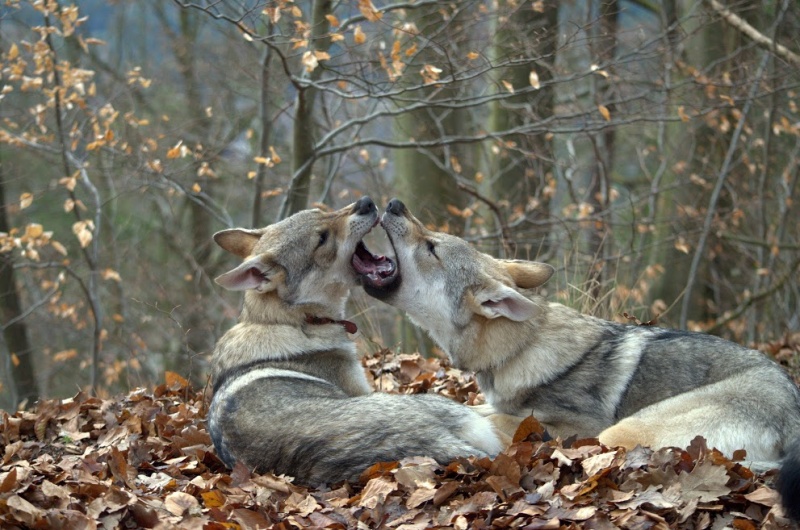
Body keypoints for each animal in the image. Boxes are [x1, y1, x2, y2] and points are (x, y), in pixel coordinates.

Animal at [206, 196, 500, 484]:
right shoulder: (362, 388)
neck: (295, 321)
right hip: (430, 402)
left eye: (320, 211)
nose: (366, 202)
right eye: (322, 238)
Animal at [360, 197, 800, 516]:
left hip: (618, 433)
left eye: (431, 247)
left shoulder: (573, 428)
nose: (395, 203)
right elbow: (473, 409)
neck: (519, 348)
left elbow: (497, 420)